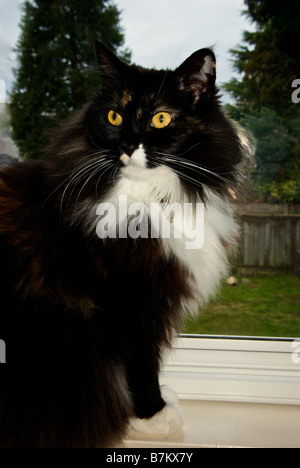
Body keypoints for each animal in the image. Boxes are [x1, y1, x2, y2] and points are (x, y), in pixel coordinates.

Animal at [0, 42, 251, 448]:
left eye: (161, 119)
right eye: (115, 116)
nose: (129, 144)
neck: (148, 197)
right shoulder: (130, 302)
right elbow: (142, 365)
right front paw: (153, 415)